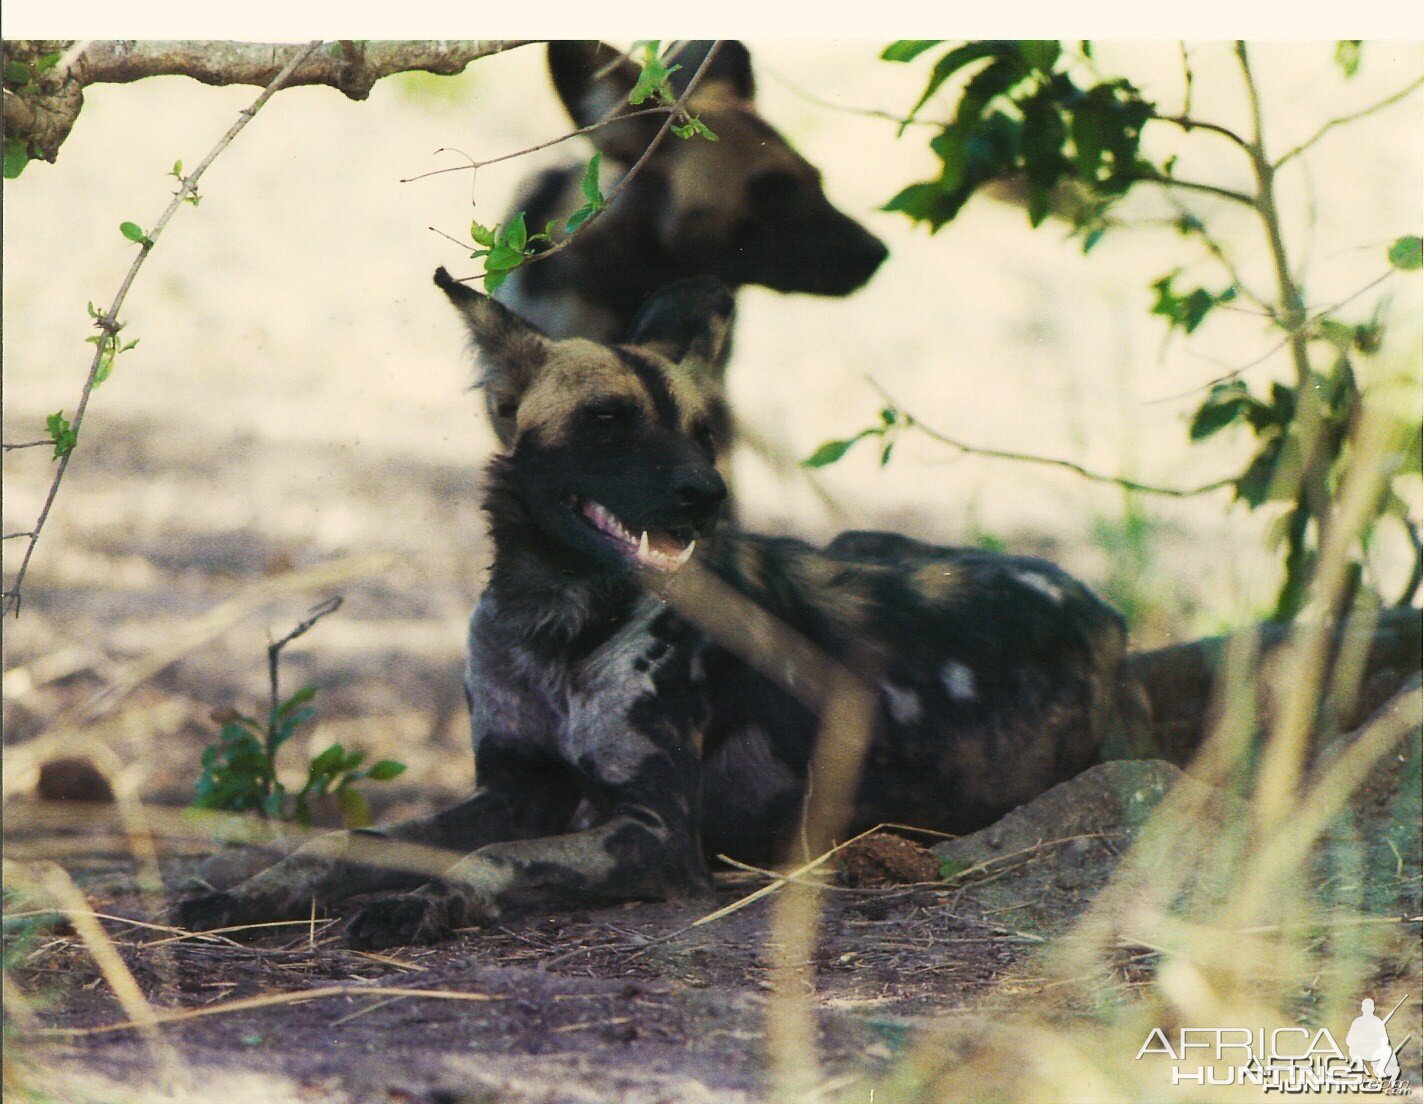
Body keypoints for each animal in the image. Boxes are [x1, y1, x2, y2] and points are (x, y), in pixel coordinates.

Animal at [178, 269, 1133, 951]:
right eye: (607, 421)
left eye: (704, 434)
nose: (706, 495)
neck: (555, 622)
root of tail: (1099, 605)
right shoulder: (514, 790)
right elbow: (344, 843)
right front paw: (247, 891)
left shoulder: (652, 832)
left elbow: (492, 859)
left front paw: (424, 905)